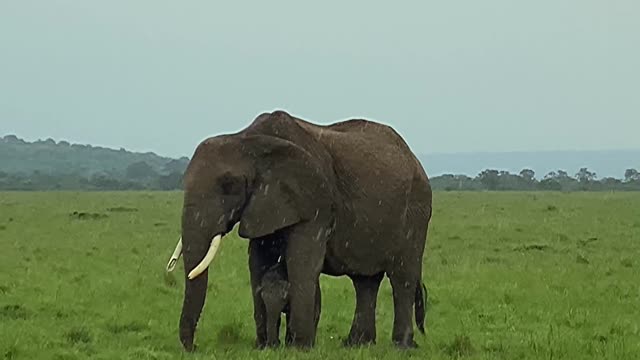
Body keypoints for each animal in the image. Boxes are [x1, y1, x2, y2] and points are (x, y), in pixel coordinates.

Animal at [168, 110, 432, 352]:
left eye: (229, 185)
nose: (194, 347)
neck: (248, 139)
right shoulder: (265, 203)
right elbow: (258, 261)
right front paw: (264, 346)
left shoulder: (314, 200)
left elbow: (302, 262)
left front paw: (299, 347)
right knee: (365, 280)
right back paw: (357, 345)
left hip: (416, 210)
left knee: (402, 277)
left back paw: (401, 347)